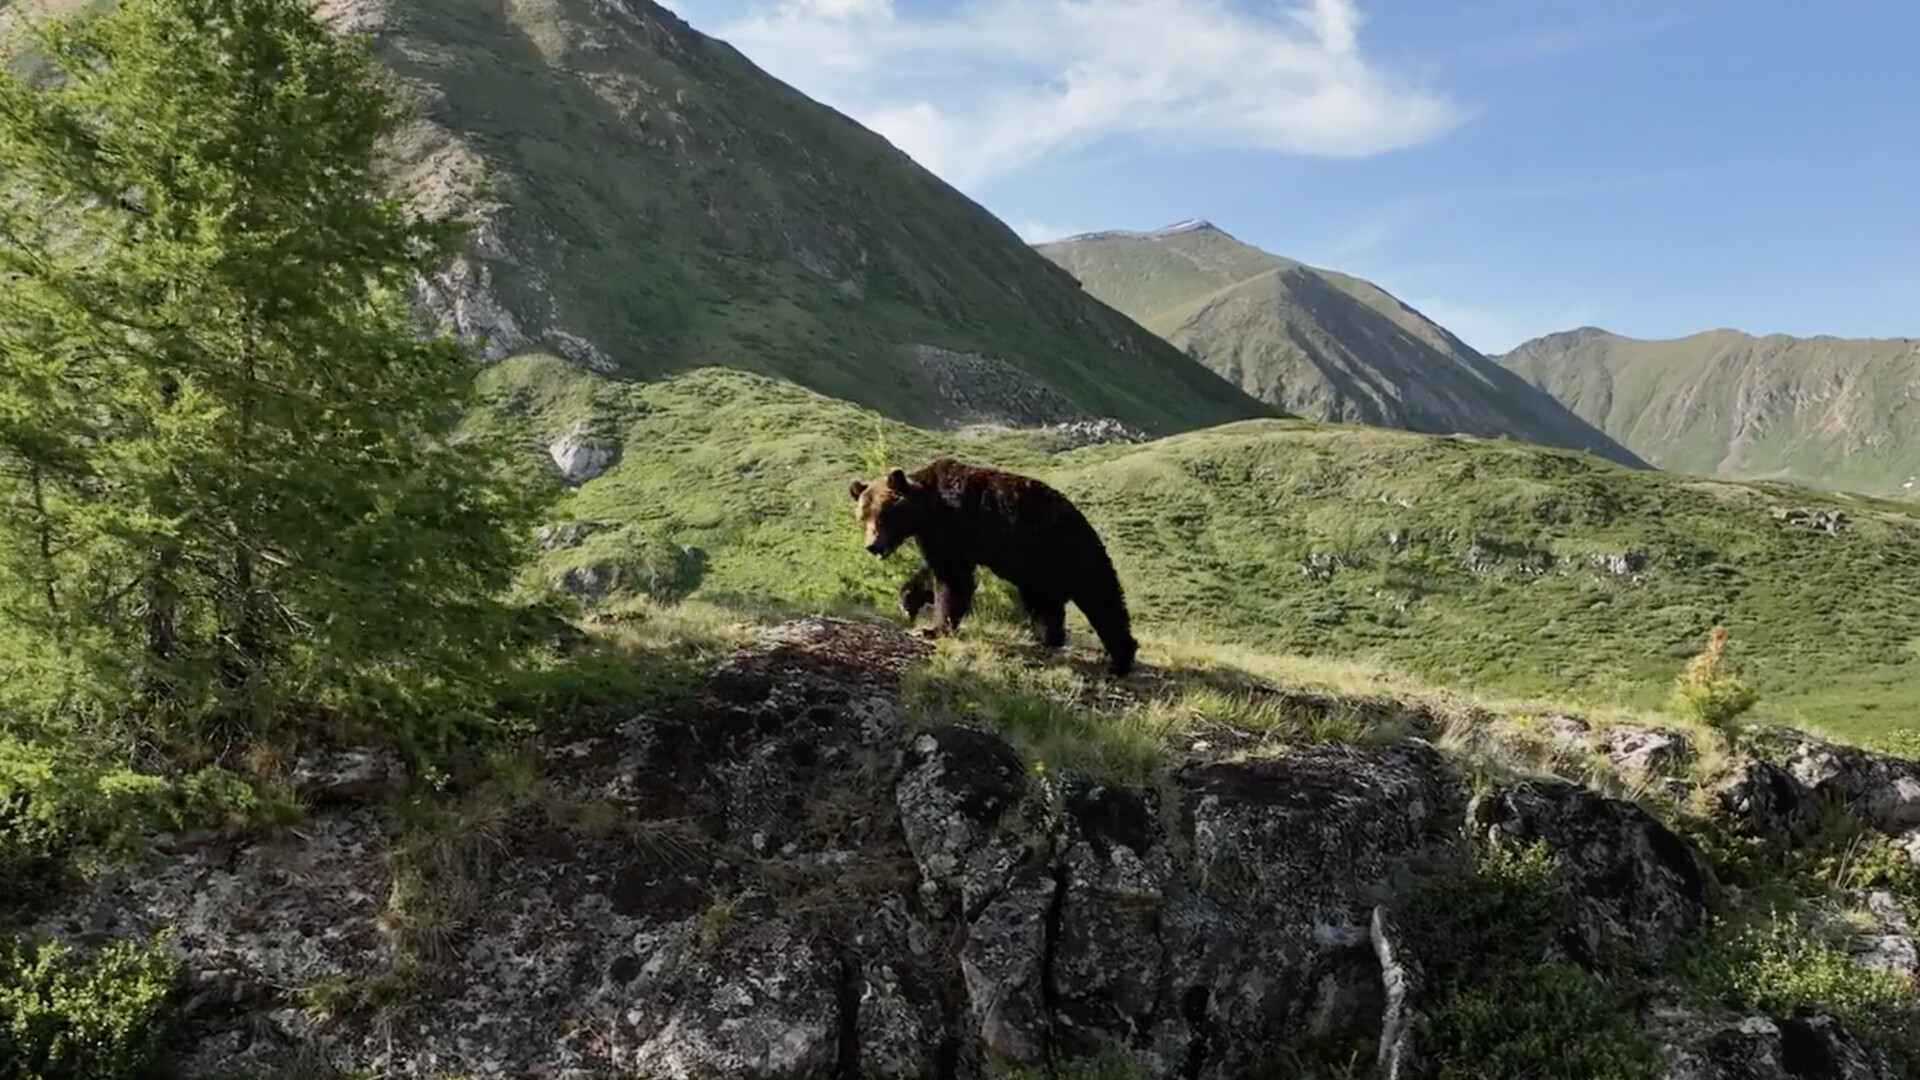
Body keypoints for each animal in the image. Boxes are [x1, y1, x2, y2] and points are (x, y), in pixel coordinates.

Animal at [844, 453, 1136, 672]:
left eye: (883, 515)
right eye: (863, 517)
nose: (872, 546)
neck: (927, 509)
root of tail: (1083, 521)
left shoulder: (952, 525)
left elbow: (953, 579)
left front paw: (935, 628)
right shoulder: (941, 538)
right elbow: (939, 571)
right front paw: (909, 599)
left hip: (1068, 552)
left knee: (1101, 598)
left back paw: (1121, 658)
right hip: (1039, 570)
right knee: (1046, 604)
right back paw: (1048, 638)